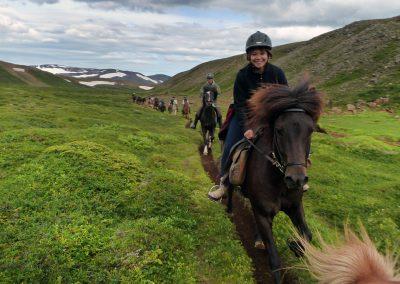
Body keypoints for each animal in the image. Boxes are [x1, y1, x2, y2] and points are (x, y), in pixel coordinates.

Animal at [227, 80, 324, 284]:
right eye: (279, 130)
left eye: (310, 131)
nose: (296, 179)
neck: (279, 184)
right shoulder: (263, 214)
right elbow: (274, 260)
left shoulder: (295, 207)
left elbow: (307, 235)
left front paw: (295, 245)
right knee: (229, 187)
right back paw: (229, 209)